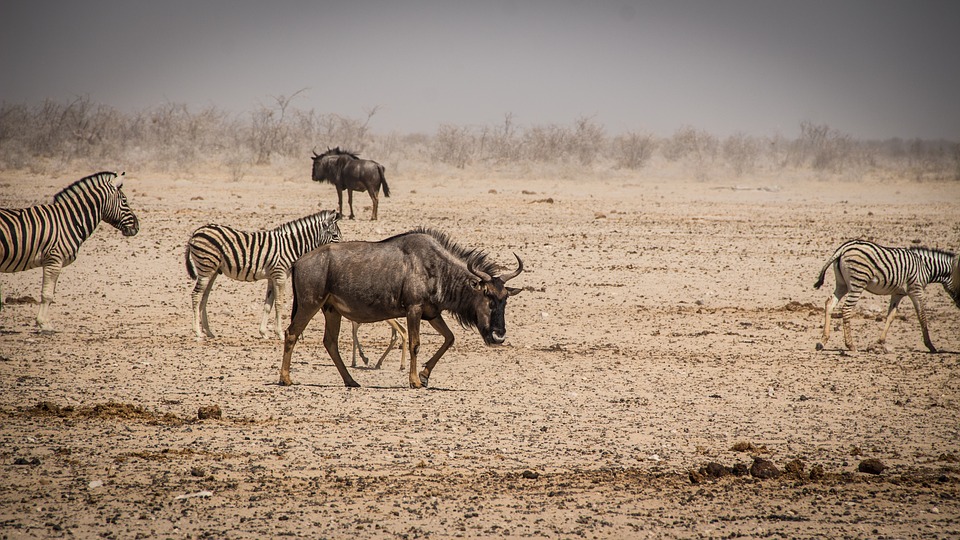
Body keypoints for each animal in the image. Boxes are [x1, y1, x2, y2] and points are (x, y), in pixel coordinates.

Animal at [0, 171, 140, 331]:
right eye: (124, 200)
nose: (137, 227)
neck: (69, 220)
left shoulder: (52, 261)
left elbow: (49, 292)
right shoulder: (54, 259)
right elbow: (47, 294)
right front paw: (44, 323)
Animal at [185, 210, 342, 340]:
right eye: (335, 235)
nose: (342, 248)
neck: (291, 245)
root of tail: (196, 232)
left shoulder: (272, 277)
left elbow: (268, 304)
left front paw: (263, 332)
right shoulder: (280, 275)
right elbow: (279, 303)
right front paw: (280, 334)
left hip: (213, 271)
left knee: (204, 296)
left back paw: (208, 331)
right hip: (205, 267)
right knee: (196, 295)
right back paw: (197, 332)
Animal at [814, 239, 960, 353]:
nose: (959, 305)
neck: (926, 267)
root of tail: (843, 248)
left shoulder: (897, 293)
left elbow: (891, 316)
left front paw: (879, 341)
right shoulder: (916, 290)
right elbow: (922, 316)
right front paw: (930, 346)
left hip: (842, 284)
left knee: (830, 303)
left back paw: (822, 341)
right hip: (858, 282)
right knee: (846, 309)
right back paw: (850, 345)